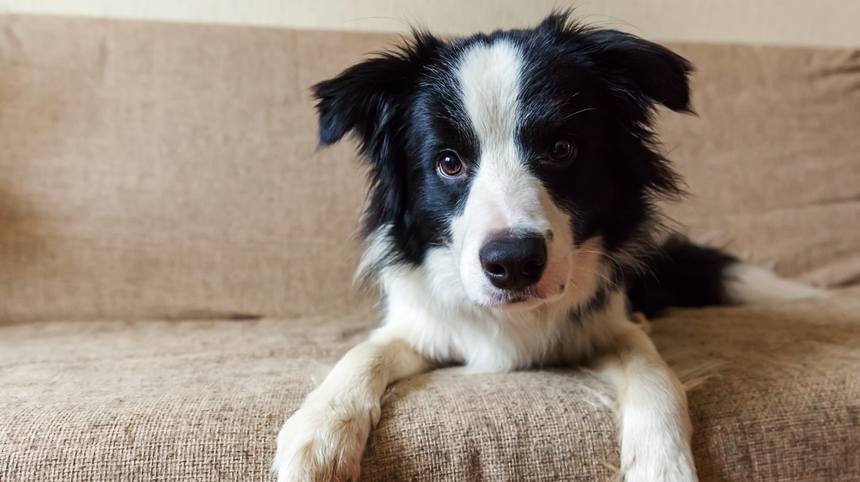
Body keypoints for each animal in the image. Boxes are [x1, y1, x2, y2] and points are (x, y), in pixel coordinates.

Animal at [272, 11, 824, 482]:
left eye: (562, 149)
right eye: (449, 162)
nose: (513, 263)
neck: (516, 319)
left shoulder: (605, 324)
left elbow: (654, 373)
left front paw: (662, 463)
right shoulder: (423, 325)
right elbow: (364, 353)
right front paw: (318, 436)